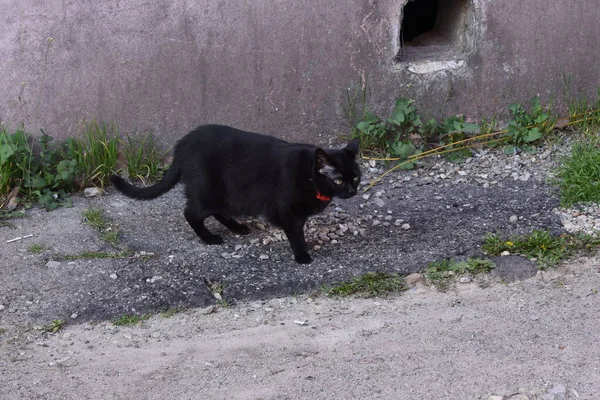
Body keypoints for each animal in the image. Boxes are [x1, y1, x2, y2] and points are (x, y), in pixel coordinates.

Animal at [109, 123, 360, 264]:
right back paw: (209, 238)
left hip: (228, 195)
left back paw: (238, 228)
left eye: (356, 177)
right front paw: (302, 256)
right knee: (191, 213)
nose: (352, 191)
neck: (308, 175)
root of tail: (182, 144)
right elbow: (296, 234)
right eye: (338, 180)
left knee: (218, 212)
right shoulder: (287, 211)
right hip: (209, 191)